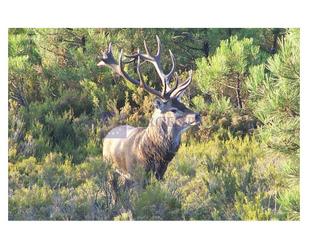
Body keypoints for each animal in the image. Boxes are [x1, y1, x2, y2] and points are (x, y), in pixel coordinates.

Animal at [97, 35, 201, 181]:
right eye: (173, 110)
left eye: (184, 104)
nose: (197, 115)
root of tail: (107, 136)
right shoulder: (136, 175)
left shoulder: (161, 175)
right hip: (110, 168)